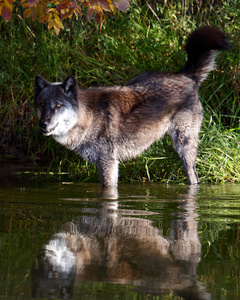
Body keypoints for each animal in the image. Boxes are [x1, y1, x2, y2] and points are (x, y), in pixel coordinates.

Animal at [34, 26, 231, 185]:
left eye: (58, 105)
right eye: (42, 104)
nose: (43, 124)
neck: (88, 117)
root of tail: (185, 76)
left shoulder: (108, 163)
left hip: (184, 146)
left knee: (194, 178)